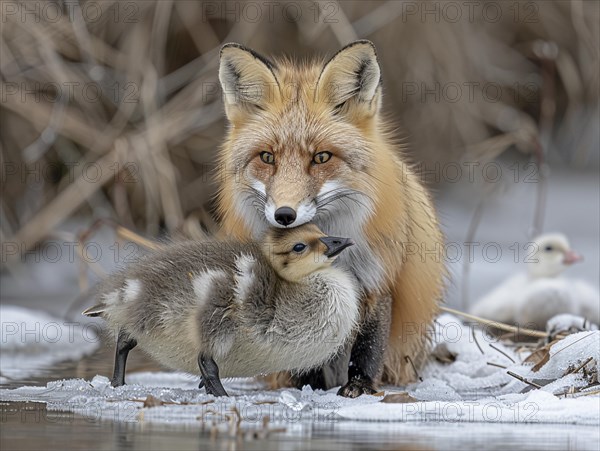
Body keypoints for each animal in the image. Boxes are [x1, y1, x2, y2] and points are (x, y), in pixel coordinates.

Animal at [216, 40, 446, 398]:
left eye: (321, 157)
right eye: (267, 157)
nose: (284, 215)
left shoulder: (378, 277)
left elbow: (369, 345)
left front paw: (360, 386)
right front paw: (309, 386)